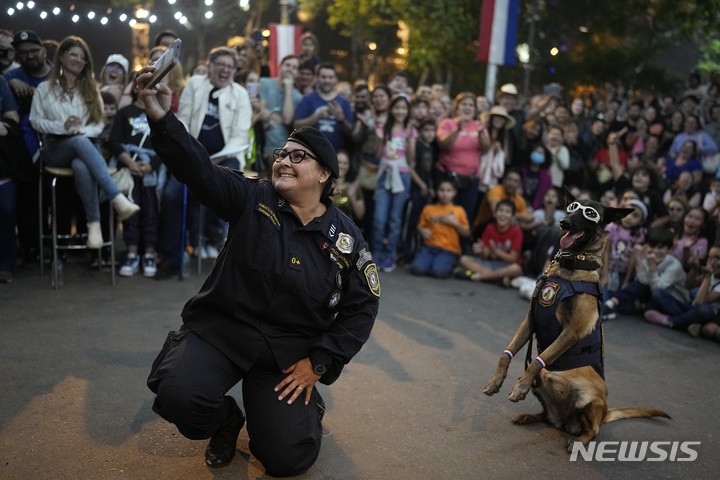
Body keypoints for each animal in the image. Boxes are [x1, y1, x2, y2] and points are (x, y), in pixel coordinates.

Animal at [484, 190, 668, 450]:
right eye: (572, 207)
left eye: (590, 213)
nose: (564, 223)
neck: (570, 265)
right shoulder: (529, 321)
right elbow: (506, 354)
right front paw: (495, 381)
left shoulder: (571, 332)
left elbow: (536, 361)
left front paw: (520, 386)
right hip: (546, 395)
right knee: (547, 417)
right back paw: (529, 417)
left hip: (590, 401)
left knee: (594, 431)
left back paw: (578, 441)